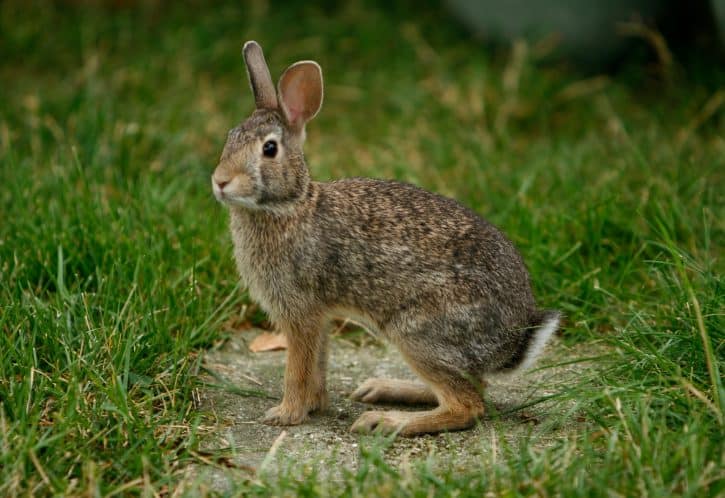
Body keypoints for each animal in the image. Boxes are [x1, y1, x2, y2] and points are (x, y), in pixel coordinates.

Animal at [211, 41, 560, 436]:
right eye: (230, 137)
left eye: (269, 149)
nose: (220, 181)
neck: (290, 206)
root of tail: (513, 338)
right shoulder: (320, 316)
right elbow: (318, 363)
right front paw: (314, 406)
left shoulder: (300, 313)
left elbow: (297, 368)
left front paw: (285, 414)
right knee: (473, 386)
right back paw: (382, 390)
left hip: (417, 332)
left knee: (467, 404)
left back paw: (384, 420)